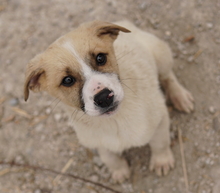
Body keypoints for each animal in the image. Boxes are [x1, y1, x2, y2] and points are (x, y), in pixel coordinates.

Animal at [23, 20, 193, 182]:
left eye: (100, 58)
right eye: (67, 80)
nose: (104, 98)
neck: (114, 120)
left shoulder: (160, 118)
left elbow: (160, 143)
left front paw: (161, 161)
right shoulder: (97, 141)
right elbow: (109, 157)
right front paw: (119, 170)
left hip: (161, 54)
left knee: (168, 76)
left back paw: (180, 97)